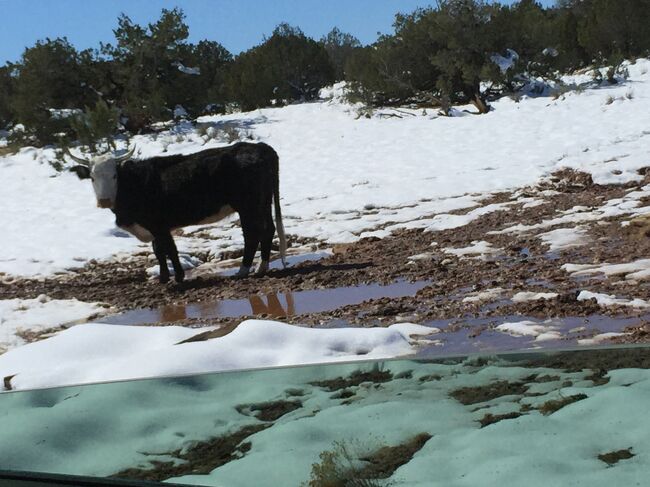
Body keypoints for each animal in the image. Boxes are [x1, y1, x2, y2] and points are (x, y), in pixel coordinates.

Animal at [67, 142, 286, 282]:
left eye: (114, 176)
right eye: (92, 177)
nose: (104, 200)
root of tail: (261, 147)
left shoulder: (159, 225)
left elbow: (169, 249)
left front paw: (179, 277)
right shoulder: (154, 227)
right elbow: (158, 250)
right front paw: (164, 277)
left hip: (248, 206)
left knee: (252, 234)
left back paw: (243, 270)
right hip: (263, 203)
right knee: (268, 229)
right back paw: (261, 268)